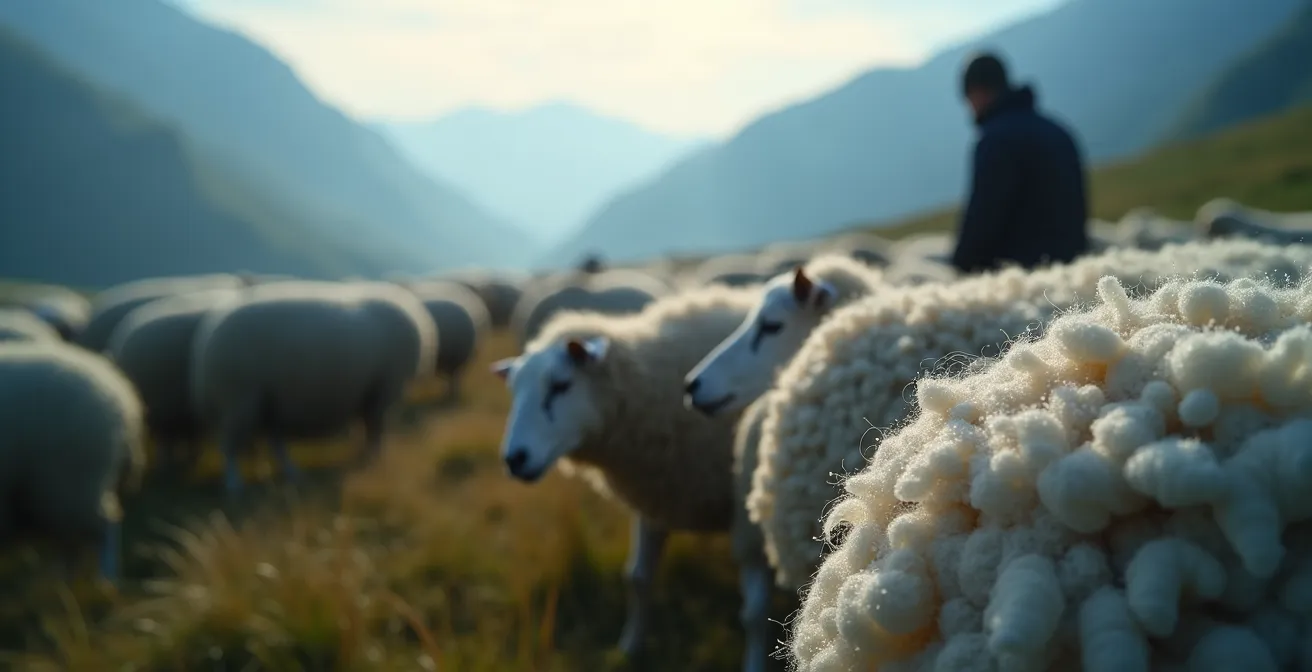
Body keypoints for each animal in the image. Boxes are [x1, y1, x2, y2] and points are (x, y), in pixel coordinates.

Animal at [0, 341, 146, 583]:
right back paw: (65, 581)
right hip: (61, 494)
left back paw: (106, 580)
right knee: (72, 541)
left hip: (72, 484)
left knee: (105, 526)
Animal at [190, 281, 436, 498]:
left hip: (266, 402)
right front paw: (374, 458)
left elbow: (367, 428)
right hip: (239, 400)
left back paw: (292, 473)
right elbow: (375, 429)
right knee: (230, 448)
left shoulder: (371, 393)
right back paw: (234, 486)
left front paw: (366, 454)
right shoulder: (384, 391)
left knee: (274, 442)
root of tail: (206, 342)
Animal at [491, 284, 774, 669]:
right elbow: (637, 579)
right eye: (514, 391)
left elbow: (756, 612)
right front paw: (630, 646)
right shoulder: (658, 493)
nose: (515, 459)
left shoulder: (750, 516)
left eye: (561, 385)